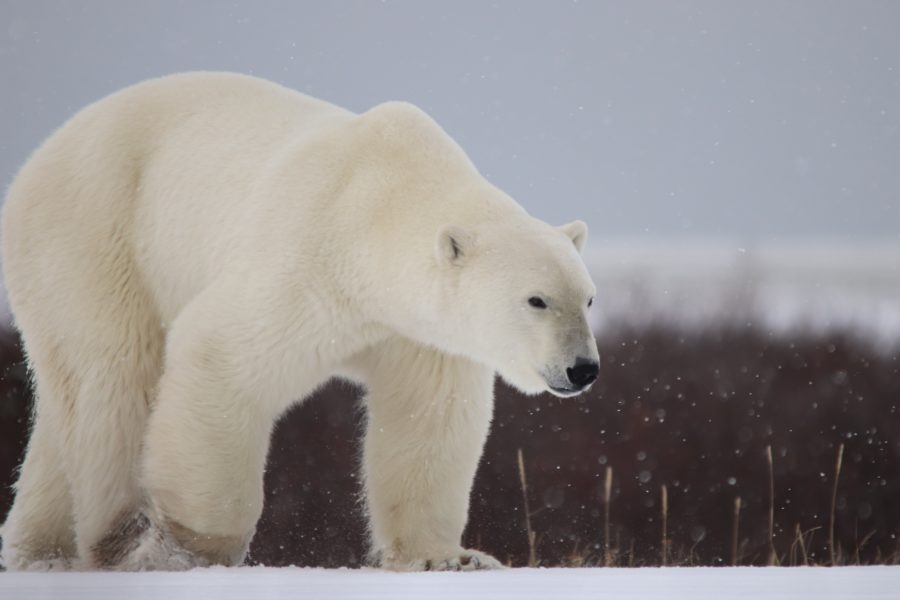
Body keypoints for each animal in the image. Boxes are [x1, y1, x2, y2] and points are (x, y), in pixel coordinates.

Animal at [0, 71, 596, 572]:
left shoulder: (416, 332)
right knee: (113, 378)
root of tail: (38, 158)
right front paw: (187, 551)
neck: (377, 201)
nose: (583, 368)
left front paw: (448, 558)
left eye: (588, 299)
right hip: (94, 233)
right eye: (537, 300)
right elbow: (219, 355)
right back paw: (118, 540)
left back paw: (40, 553)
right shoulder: (307, 258)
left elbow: (428, 415)